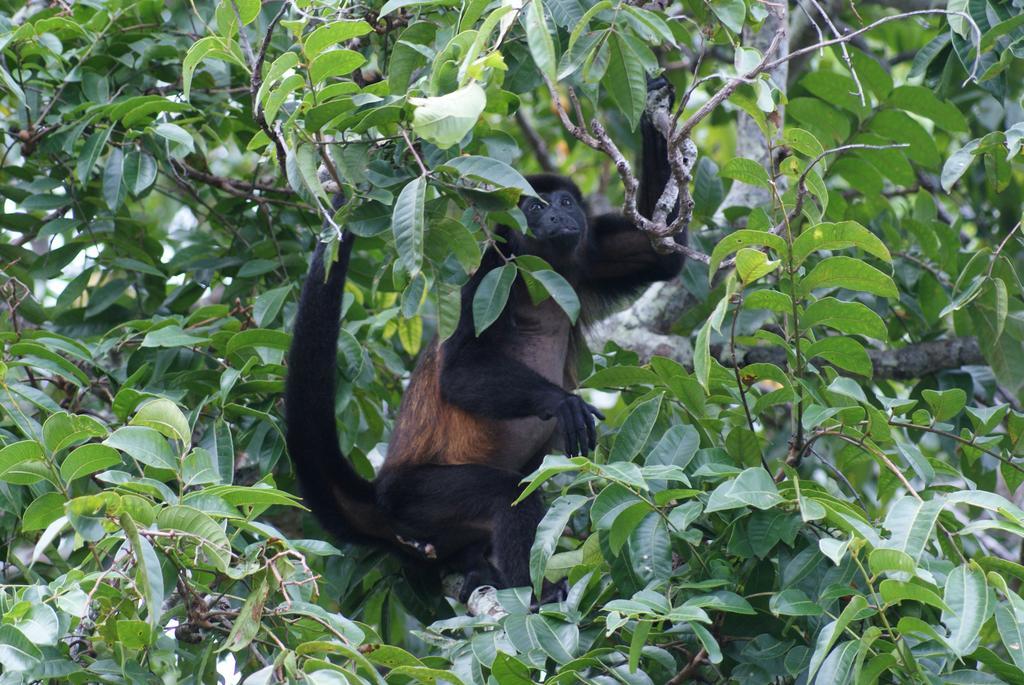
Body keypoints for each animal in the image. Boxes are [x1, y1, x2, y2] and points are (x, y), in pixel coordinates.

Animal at [284, 77, 684, 597]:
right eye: (534, 206)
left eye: (564, 202)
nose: (556, 217)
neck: (545, 270)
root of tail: (379, 496)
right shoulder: (491, 273)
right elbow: (457, 371)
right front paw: (561, 402)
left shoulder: (590, 253)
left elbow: (664, 255)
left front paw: (656, 106)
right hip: (414, 499)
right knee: (507, 495)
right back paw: (536, 595)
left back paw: (479, 570)